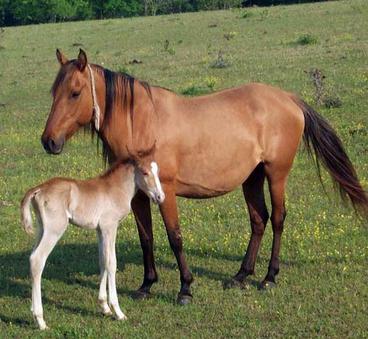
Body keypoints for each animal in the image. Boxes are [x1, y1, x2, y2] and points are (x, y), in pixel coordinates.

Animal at [20, 148, 164, 330]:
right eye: (144, 172)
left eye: (157, 171)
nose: (160, 197)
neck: (115, 189)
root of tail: (38, 189)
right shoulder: (110, 227)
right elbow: (111, 263)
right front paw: (118, 311)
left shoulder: (100, 230)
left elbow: (102, 260)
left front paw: (104, 306)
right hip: (55, 229)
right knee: (37, 259)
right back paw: (40, 320)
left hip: (42, 229)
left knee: (32, 257)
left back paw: (33, 311)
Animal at [41, 49, 368, 306]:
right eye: (53, 92)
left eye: (75, 92)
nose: (49, 141)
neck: (143, 123)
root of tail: (288, 99)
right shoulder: (138, 197)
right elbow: (147, 237)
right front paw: (146, 285)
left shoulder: (165, 192)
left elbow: (175, 237)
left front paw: (185, 288)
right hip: (252, 178)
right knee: (258, 220)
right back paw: (240, 275)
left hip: (276, 174)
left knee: (277, 219)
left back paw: (268, 277)